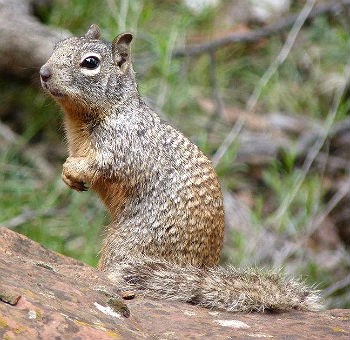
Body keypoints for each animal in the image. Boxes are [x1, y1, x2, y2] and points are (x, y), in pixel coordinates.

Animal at [39, 23, 322, 310]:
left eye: (91, 63)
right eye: (58, 45)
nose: (43, 72)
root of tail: (198, 269)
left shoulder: (124, 148)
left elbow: (103, 166)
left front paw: (74, 170)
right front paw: (67, 175)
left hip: (128, 245)